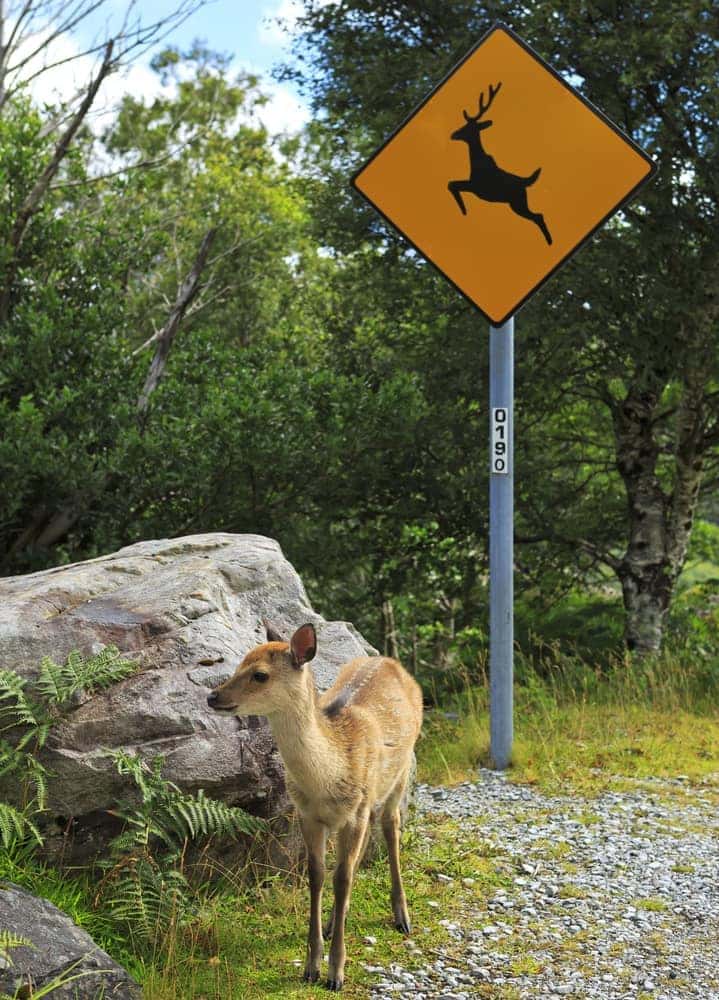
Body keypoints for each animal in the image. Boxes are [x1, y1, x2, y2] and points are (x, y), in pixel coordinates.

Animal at [207, 620, 422, 988]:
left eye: (260, 674)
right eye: (238, 664)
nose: (213, 696)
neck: (329, 778)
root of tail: (391, 661)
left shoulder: (355, 811)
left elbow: (342, 877)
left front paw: (336, 972)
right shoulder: (307, 815)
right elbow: (318, 875)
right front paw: (311, 965)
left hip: (401, 770)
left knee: (390, 826)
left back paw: (402, 917)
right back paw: (336, 920)